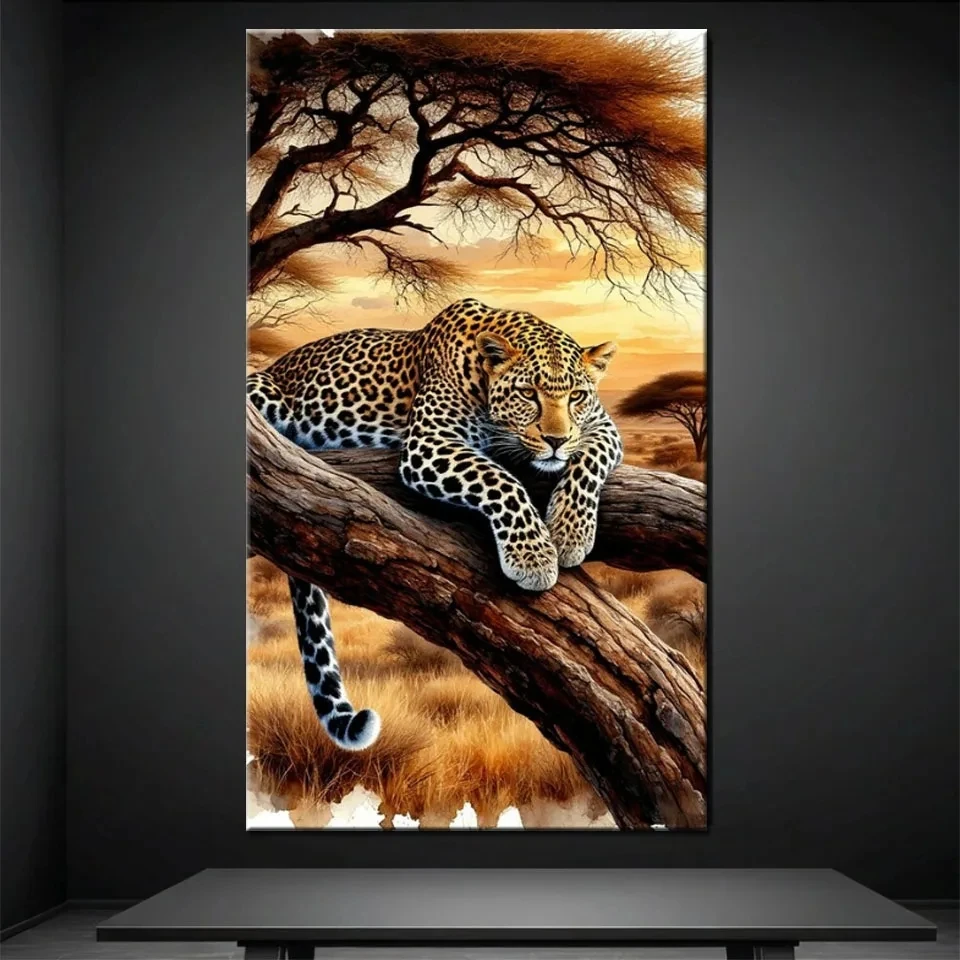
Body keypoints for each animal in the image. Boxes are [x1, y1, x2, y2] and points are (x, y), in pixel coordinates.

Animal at [247, 298, 623, 751]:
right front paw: (532, 557)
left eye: (577, 397)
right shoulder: (429, 443)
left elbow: (589, 458)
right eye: (527, 394)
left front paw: (569, 532)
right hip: (261, 389)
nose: (556, 440)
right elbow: (500, 480)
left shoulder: (602, 425)